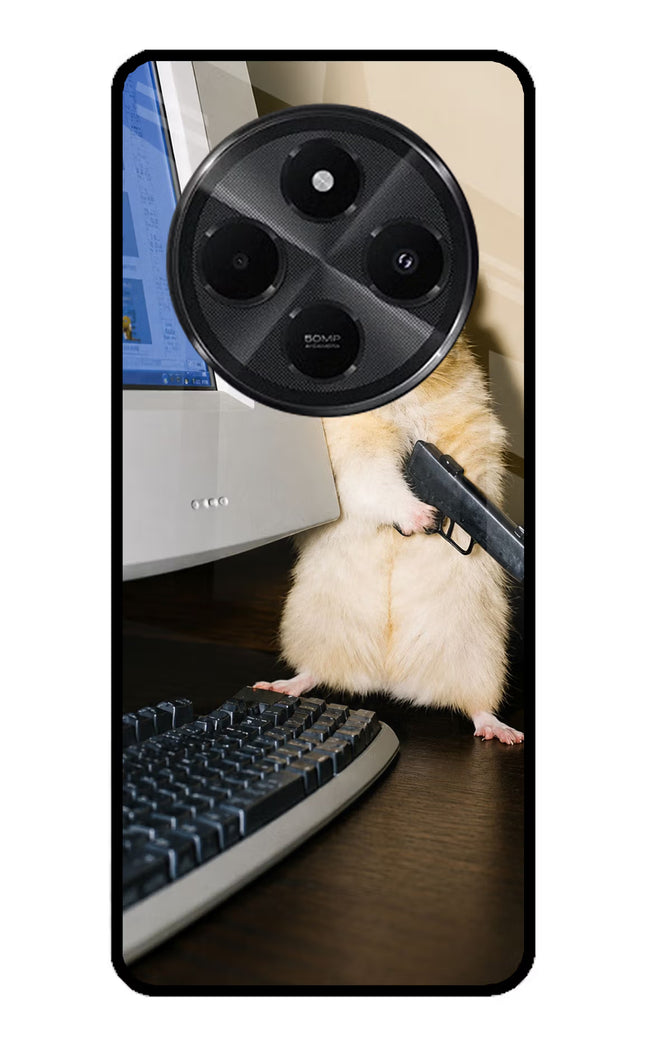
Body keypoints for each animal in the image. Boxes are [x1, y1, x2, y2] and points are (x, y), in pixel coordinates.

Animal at [255, 335, 524, 744]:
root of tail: (388, 678)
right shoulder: (356, 454)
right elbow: (379, 482)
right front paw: (423, 518)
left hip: (480, 656)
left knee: (477, 706)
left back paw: (504, 732)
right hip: (313, 628)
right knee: (314, 672)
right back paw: (275, 686)